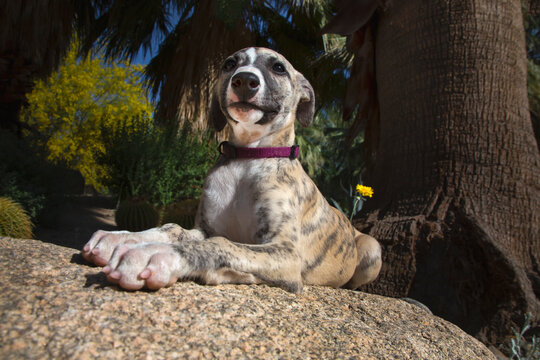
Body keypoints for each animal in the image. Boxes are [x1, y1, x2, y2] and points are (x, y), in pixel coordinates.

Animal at [82, 46, 382, 292]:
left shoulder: (286, 253)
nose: (244, 80)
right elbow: (173, 228)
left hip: (373, 249)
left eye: (278, 67)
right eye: (229, 64)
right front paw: (122, 238)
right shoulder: (205, 228)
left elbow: (220, 245)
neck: (246, 158)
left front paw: (154, 254)